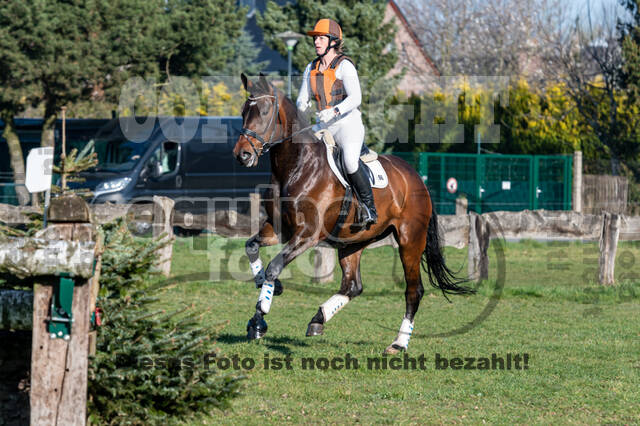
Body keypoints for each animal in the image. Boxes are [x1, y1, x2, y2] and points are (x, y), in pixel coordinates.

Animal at [232, 73, 472, 352]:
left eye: (264, 111)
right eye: (243, 112)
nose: (242, 154)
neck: (296, 165)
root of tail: (416, 178)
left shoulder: (307, 235)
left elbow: (274, 266)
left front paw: (259, 318)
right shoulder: (279, 229)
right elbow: (251, 247)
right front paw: (267, 292)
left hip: (410, 240)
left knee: (414, 290)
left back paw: (399, 343)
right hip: (352, 242)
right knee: (352, 285)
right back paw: (318, 319)